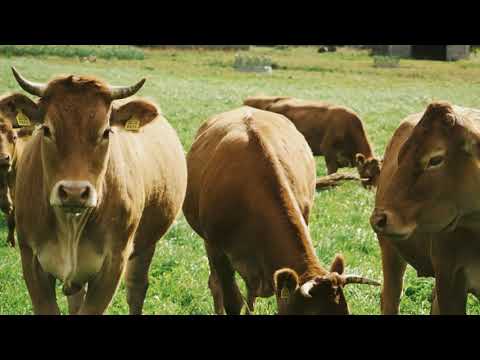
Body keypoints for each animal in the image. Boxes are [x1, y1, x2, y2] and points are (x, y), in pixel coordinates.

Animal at [8, 68, 189, 316]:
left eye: (105, 132)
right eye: (46, 129)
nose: (74, 192)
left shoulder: (114, 262)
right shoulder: (30, 258)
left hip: (147, 243)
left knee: (136, 287)